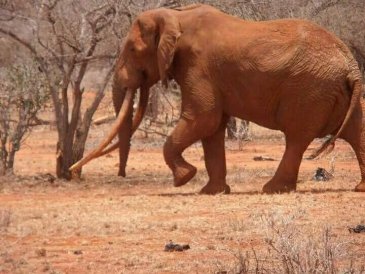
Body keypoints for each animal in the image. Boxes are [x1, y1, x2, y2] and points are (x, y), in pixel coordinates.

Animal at [70, 3, 364, 194]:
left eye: (132, 49)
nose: (121, 175)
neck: (176, 15)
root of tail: (350, 64)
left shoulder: (197, 66)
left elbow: (203, 119)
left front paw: (184, 179)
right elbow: (212, 129)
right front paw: (212, 191)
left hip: (308, 89)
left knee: (296, 138)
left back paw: (272, 189)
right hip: (330, 90)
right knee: (356, 132)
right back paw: (360, 188)